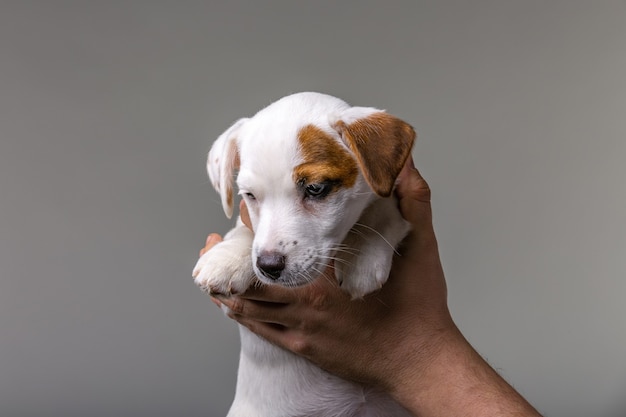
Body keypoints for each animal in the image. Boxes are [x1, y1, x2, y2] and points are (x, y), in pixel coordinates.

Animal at [190, 92, 414, 416]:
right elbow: (247, 232)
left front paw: (362, 258)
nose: (269, 266)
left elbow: (380, 213)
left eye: (316, 188)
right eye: (249, 195)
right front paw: (227, 258)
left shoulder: (391, 201)